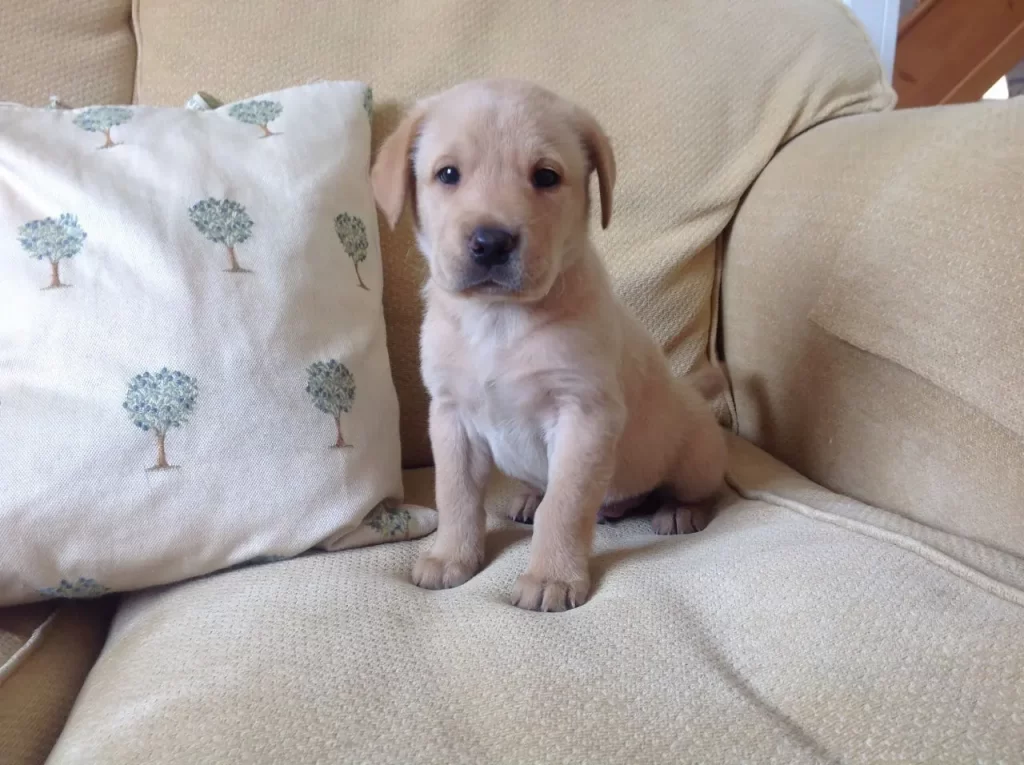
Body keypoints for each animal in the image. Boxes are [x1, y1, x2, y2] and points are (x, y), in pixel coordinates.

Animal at [371, 80, 728, 612]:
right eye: (447, 174)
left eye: (545, 176)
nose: (491, 242)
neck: (498, 320)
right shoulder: (451, 417)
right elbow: (455, 495)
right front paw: (451, 557)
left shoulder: (584, 415)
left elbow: (564, 506)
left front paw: (552, 577)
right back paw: (531, 497)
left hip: (696, 457)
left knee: (703, 489)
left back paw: (681, 511)